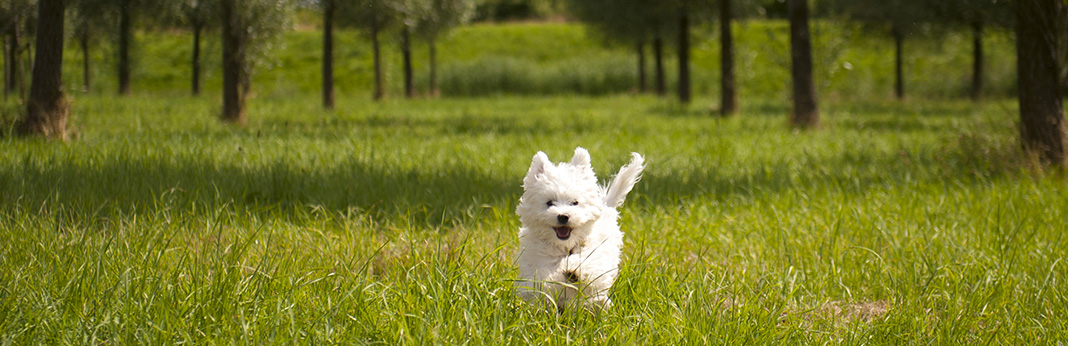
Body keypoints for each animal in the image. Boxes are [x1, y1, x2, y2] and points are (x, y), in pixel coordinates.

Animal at [514, 146, 640, 311]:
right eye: (550, 203)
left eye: (575, 202)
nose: (563, 216)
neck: (565, 247)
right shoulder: (536, 262)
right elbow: (543, 280)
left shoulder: (597, 257)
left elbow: (588, 265)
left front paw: (573, 269)